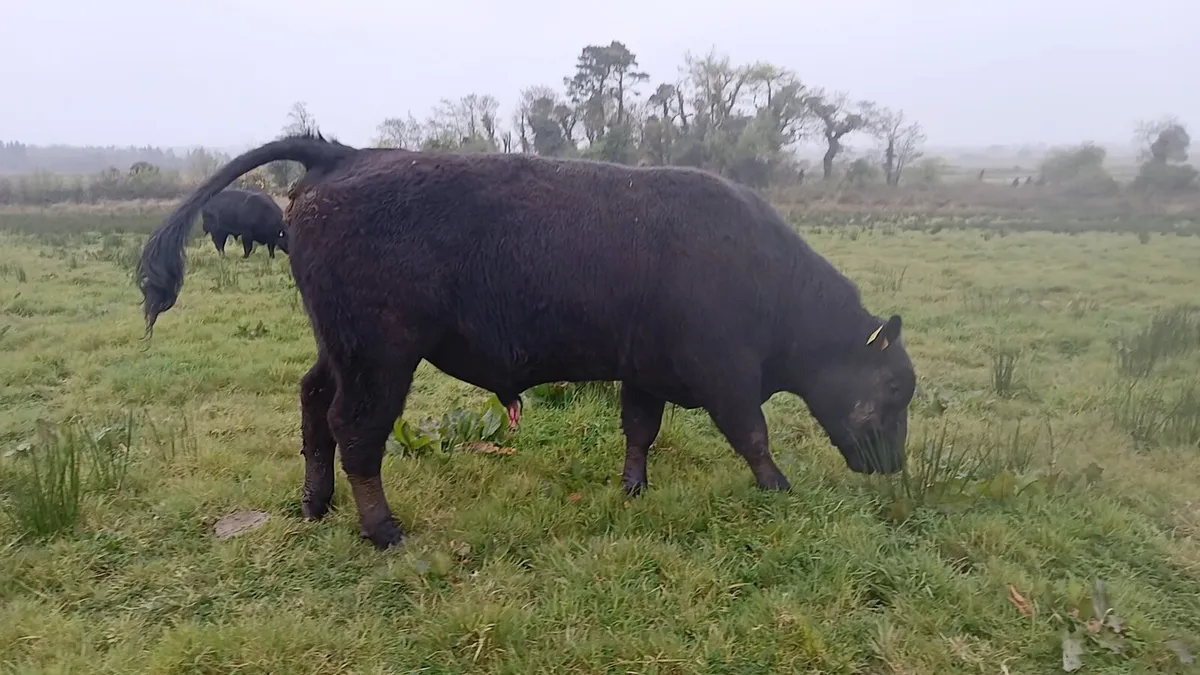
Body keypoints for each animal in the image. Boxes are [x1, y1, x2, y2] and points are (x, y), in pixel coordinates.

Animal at [136, 131, 916, 551]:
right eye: (895, 387)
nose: (895, 466)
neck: (763, 271)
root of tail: (344, 155)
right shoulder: (725, 374)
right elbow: (753, 433)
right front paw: (779, 488)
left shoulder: (644, 370)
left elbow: (640, 430)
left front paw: (633, 489)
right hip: (380, 358)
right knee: (355, 430)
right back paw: (382, 529)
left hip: (343, 350)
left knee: (313, 404)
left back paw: (315, 501)